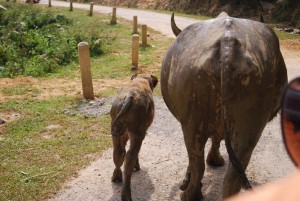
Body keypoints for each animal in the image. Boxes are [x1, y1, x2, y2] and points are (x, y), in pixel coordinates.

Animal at [161, 12, 288, 199]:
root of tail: (228, 43)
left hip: (192, 120)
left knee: (197, 162)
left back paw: (189, 195)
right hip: (251, 121)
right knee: (234, 172)